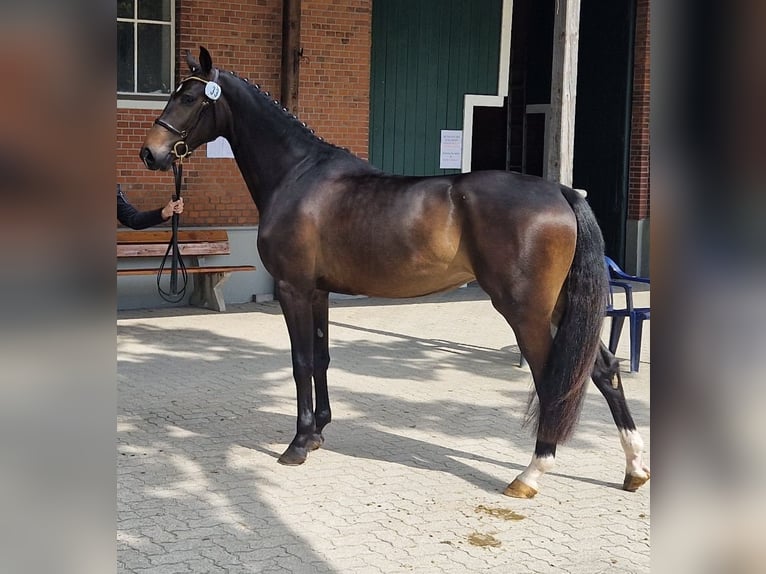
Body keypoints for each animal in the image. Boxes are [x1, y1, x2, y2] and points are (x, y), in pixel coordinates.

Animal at [140, 47, 650, 498]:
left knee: (553, 379)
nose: (151, 153)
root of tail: (563, 191)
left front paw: (299, 443)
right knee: (603, 369)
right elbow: (321, 358)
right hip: (561, 307)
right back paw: (633, 469)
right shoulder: (319, 293)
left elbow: (301, 360)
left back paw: (531, 474)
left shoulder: (294, 289)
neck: (299, 175)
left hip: (526, 312)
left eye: (190, 97)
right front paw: (319, 430)